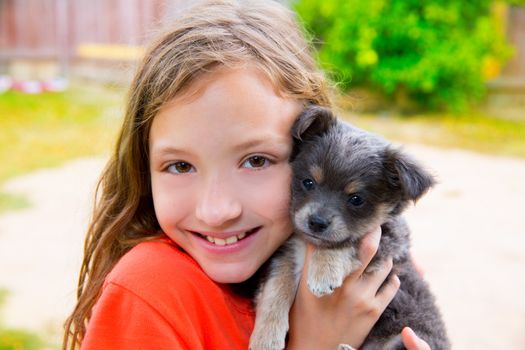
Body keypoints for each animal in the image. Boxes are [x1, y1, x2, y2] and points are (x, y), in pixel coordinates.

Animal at [248, 106, 448, 350]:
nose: (316, 222)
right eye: (308, 182)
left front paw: (323, 271)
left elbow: (345, 241)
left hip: (409, 335)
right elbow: (275, 291)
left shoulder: (387, 241)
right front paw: (265, 337)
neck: (308, 246)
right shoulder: (286, 254)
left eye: (356, 199)